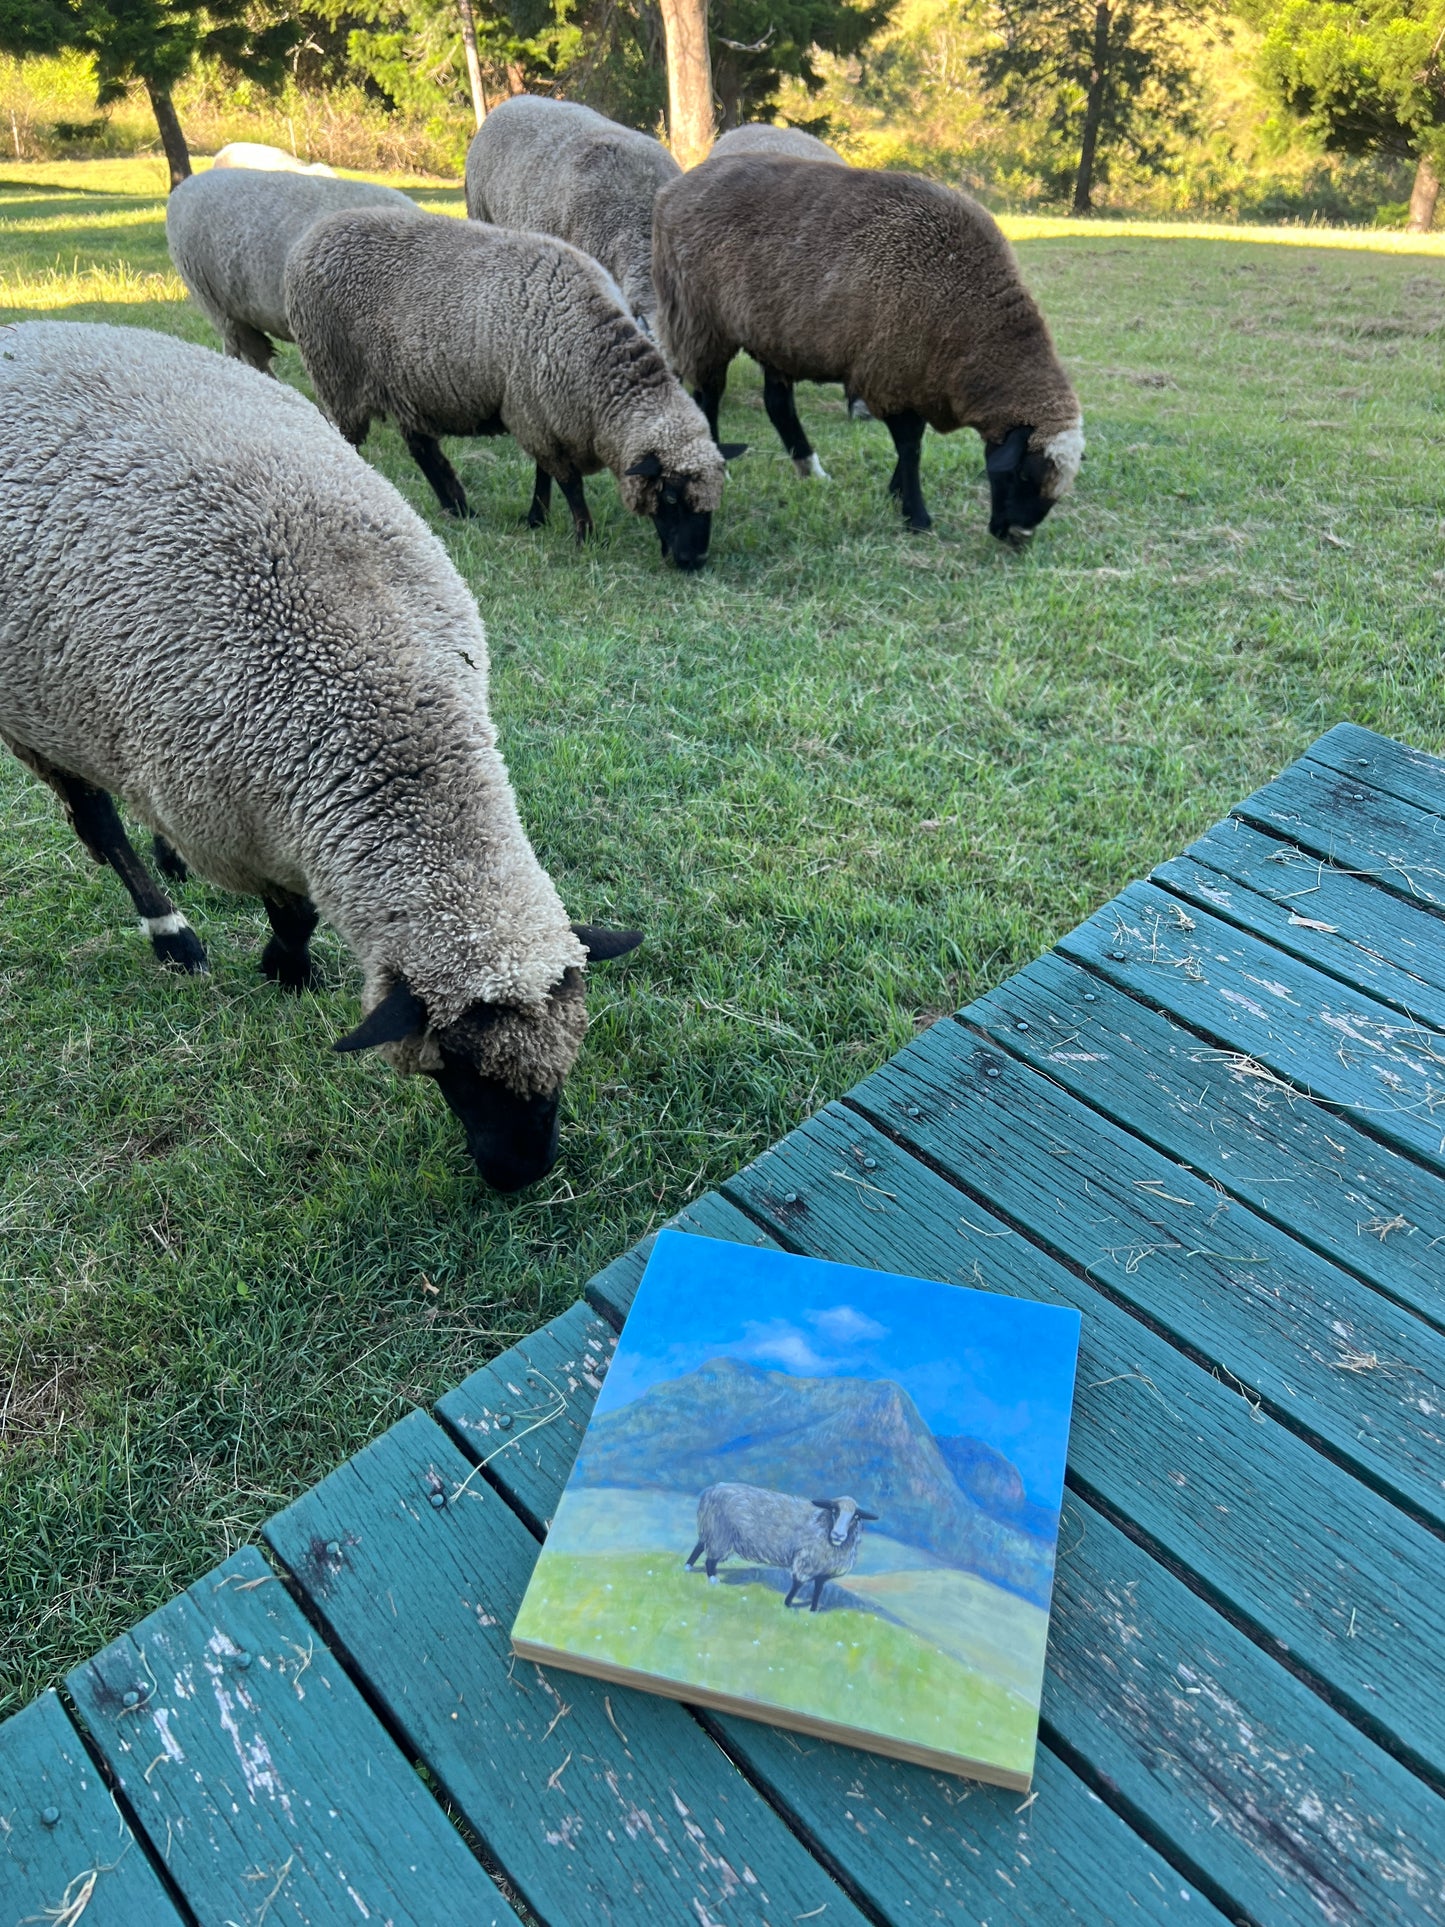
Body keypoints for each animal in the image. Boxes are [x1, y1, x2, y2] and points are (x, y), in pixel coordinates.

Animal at [0, 320, 643, 1192]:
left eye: (570, 1058)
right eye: (457, 1068)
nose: (522, 1175)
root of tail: (27, 330)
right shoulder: (238, 818)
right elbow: (295, 909)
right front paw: (286, 969)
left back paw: (167, 862)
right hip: (31, 712)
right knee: (98, 824)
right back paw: (171, 933)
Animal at [285, 206, 744, 569]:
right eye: (671, 497)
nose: (693, 561)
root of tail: (311, 236)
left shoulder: (546, 416)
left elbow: (544, 474)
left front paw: (537, 518)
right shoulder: (533, 415)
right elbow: (568, 482)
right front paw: (584, 535)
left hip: (403, 385)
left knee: (422, 448)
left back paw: (459, 507)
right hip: (336, 374)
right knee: (349, 440)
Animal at [652, 154, 1084, 538]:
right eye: (1023, 472)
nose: (1017, 536)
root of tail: (674, 188)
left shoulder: (916, 375)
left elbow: (913, 443)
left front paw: (897, 493)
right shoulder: (890, 373)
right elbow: (910, 445)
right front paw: (915, 515)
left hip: (773, 334)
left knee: (777, 405)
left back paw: (811, 470)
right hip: (699, 320)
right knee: (708, 396)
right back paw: (724, 466)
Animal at [686, 1482, 880, 1612]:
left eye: (855, 1517)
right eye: (834, 1511)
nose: (838, 1535)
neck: (824, 1527)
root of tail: (712, 1490)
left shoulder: (823, 1569)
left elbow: (818, 1590)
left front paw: (813, 1610)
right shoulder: (806, 1561)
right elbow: (797, 1583)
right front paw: (788, 1604)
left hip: (711, 1529)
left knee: (699, 1546)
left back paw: (688, 1567)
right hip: (720, 1533)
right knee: (710, 1559)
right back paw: (713, 1579)